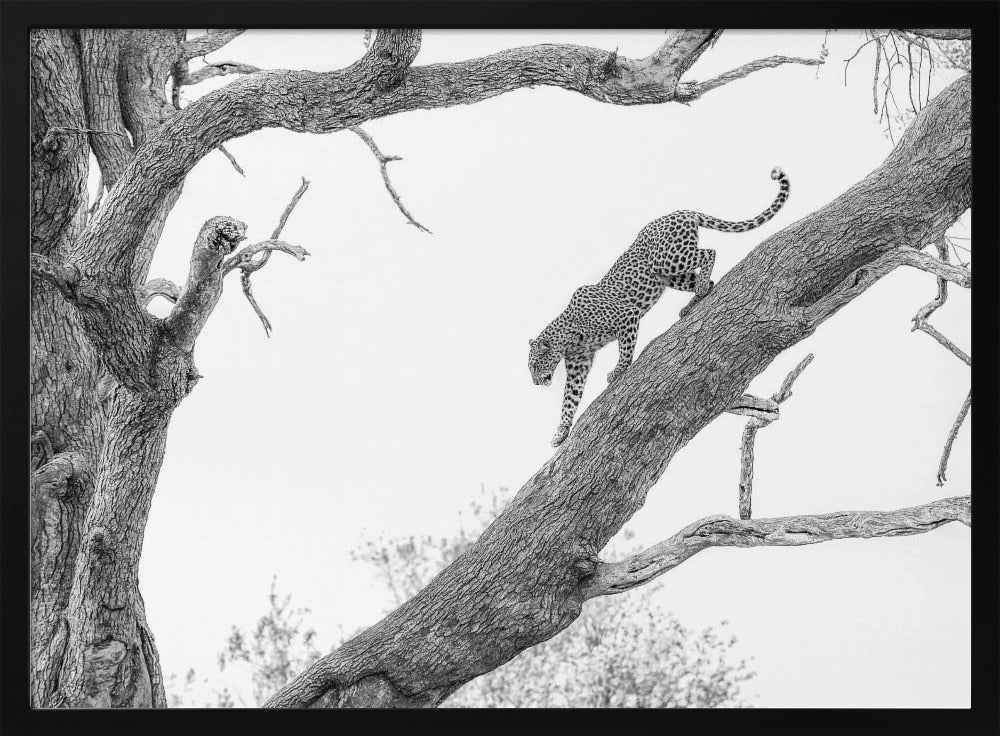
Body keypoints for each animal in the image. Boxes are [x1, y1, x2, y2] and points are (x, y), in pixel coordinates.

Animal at [529, 167, 790, 447]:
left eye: (534, 365)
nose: (534, 383)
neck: (567, 337)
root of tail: (681, 211)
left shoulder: (627, 317)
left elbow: (625, 350)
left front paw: (618, 372)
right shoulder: (578, 365)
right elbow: (570, 399)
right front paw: (561, 432)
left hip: (666, 260)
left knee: (709, 252)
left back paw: (699, 291)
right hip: (668, 275)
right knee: (706, 277)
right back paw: (694, 301)